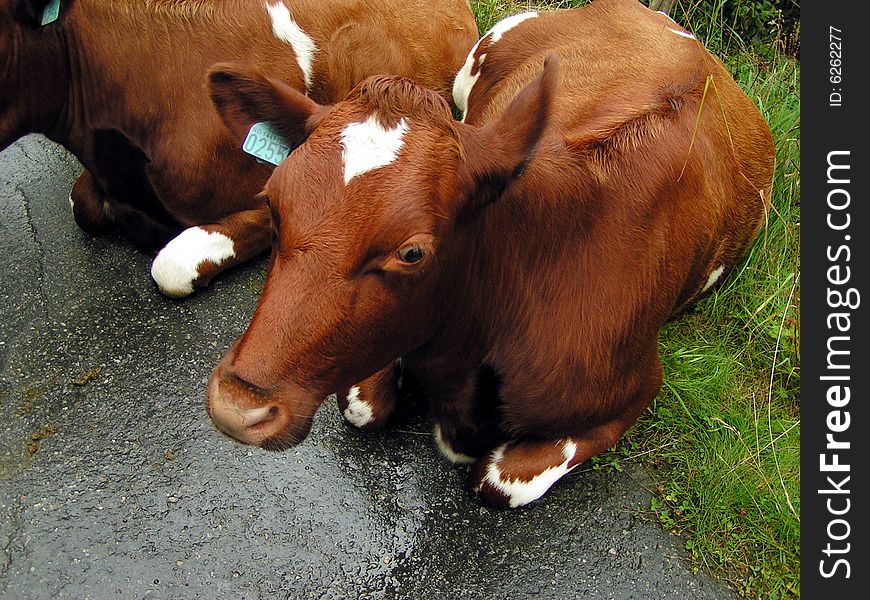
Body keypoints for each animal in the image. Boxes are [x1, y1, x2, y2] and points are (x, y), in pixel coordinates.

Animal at [206, 0, 776, 506]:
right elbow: (363, 407)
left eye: (412, 253)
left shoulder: (636, 389)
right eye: (273, 204)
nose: (237, 406)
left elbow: (498, 481)